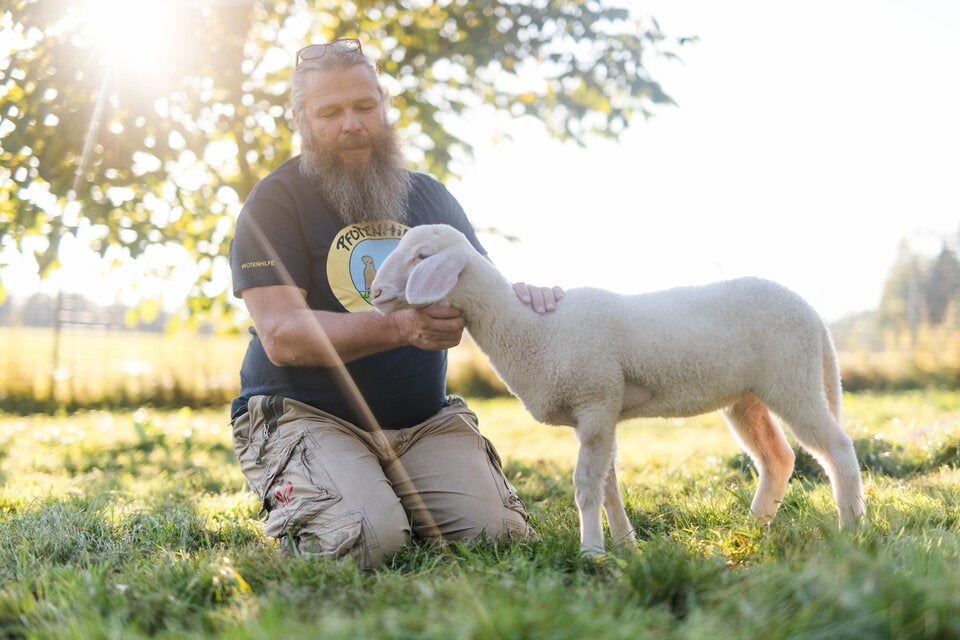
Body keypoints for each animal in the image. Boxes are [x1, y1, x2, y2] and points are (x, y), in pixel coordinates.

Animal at [370, 224, 866, 557]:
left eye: (421, 256)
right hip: (747, 397)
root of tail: (814, 315)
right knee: (777, 458)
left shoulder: (594, 401)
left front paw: (591, 552)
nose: (374, 292)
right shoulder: (598, 414)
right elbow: (609, 487)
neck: (532, 330)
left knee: (838, 448)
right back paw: (751, 531)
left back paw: (852, 528)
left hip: (792, 378)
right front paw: (626, 547)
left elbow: (586, 486)